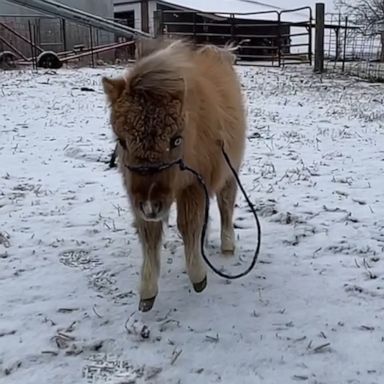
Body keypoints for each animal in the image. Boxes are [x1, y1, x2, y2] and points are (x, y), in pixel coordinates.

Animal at [101, 37, 246, 310]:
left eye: (176, 139)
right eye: (122, 141)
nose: (150, 206)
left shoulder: (194, 184)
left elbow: (188, 224)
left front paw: (198, 275)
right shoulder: (137, 193)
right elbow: (149, 233)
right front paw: (147, 291)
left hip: (229, 172)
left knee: (225, 204)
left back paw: (227, 245)